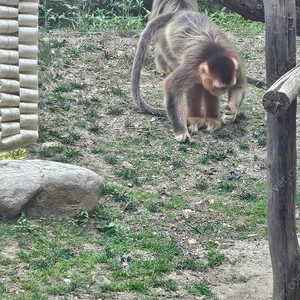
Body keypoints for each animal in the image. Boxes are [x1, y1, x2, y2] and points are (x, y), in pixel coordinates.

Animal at [130, 0, 247, 143]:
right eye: (221, 87)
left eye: (226, 87)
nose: (223, 91)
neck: (214, 50)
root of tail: (180, 14)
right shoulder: (192, 65)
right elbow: (172, 87)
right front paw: (181, 131)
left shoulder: (235, 62)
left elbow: (238, 86)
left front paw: (232, 111)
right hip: (168, 47)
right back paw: (195, 119)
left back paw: (212, 121)